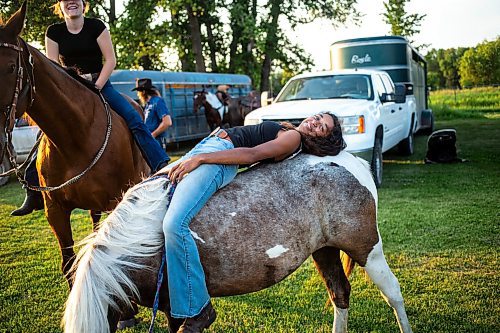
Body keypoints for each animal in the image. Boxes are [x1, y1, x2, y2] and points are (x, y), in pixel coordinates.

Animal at [63, 152, 414, 332]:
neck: (137, 245)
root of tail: (350, 160)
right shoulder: (169, 306)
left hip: (367, 249)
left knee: (393, 293)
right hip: (324, 251)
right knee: (339, 293)